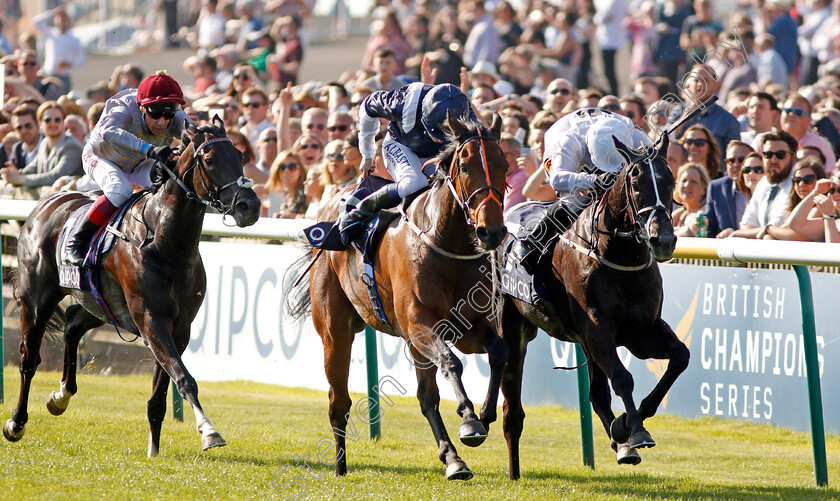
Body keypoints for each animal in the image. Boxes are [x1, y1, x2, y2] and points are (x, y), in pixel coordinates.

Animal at [2, 118, 260, 458]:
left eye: (241, 156)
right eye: (210, 159)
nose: (250, 206)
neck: (167, 246)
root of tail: (44, 204)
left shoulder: (180, 327)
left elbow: (162, 391)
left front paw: (154, 449)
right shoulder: (151, 319)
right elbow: (183, 378)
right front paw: (208, 431)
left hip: (102, 305)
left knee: (72, 323)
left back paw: (61, 396)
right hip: (37, 301)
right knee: (29, 359)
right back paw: (16, 423)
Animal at [288, 113, 508, 480]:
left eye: (504, 165)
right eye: (464, 166)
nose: (491, 231)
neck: (445, 241)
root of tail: (330, 202)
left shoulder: (469, 326)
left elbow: (498, 352)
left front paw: (486, 413)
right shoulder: (419, 324)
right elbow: (452, 362)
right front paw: (469, 420)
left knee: (425, 397)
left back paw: (453, 459)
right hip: (336, 332)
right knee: (338, 402)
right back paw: (340, 466)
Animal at [492, 135, 688, 478]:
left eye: (671, 180)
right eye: (635, 183)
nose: (662, 240)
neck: (620, 255)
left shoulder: (642, 332)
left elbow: (680, 356)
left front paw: (627, 425)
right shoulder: (597, 328)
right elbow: (623, 377)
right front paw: (636, 430)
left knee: (596, 394)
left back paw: (620, 441)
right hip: (514, 328)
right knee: (512, 406)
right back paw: (510, 467)